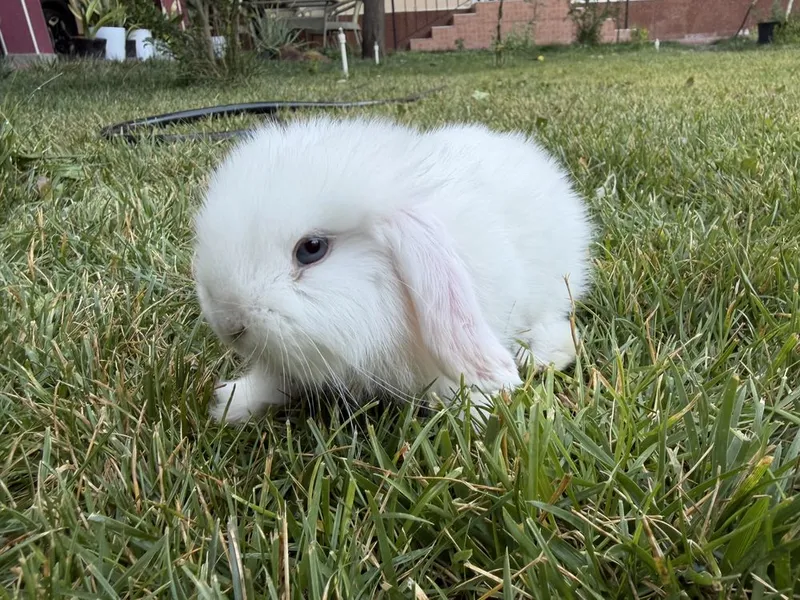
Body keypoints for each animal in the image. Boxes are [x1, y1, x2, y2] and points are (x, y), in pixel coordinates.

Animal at [192, 115, 593, 424]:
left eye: (311, 249)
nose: (229, 324)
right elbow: (276, 379)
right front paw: (231, 404)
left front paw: (480, 413)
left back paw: (541, 357)